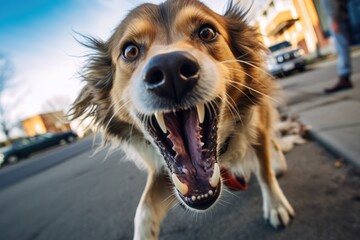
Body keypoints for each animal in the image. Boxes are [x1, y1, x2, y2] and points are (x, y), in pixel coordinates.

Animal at [70, 0, 296, 239]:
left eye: (206, 32)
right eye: (130, 51)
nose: (170, 70)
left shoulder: (255, 122)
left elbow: (264, 169)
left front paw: (276, 205)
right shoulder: (163, 172)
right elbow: (144, 210)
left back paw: (278, 161)